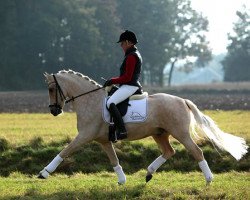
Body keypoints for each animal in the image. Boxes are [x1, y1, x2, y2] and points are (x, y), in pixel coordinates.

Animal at [39, 70, 248, 184]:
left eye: (51, 89)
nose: (54, 111)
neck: (90, 100)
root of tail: (183, 100)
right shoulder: (104, 141)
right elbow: (114, 160)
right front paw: (122, 180)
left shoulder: (84, 136)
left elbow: (65, 151)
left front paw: (44, 173)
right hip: (159, 134)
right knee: (169, 151)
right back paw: (148, 173)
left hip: (180, 133)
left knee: (196, 152)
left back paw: (209, 179)